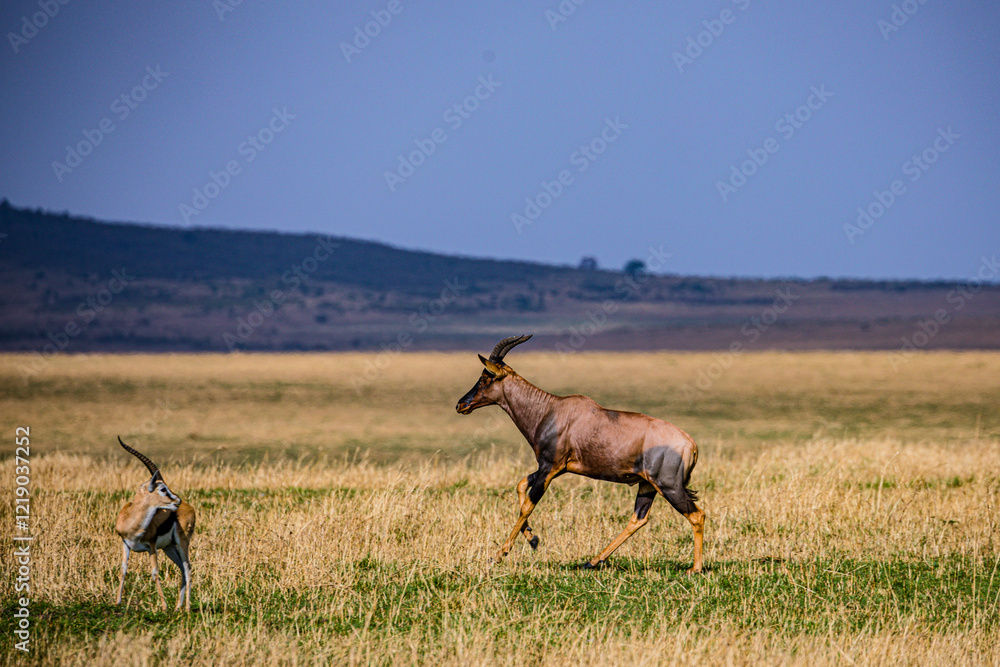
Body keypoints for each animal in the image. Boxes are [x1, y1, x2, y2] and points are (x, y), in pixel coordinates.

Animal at [114, 436, 196, 611]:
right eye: (163, 489)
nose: (177, 500)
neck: (133, 523)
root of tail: (189, 507)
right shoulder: (125, 543)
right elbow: (123, 570)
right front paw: (117, 602)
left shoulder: (151, 546)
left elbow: (155, 572)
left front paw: (164, 606)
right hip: (169, 547)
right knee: (181, 568)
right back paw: (178, 607)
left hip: (182, 542)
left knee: (187, 568)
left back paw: (186, 608)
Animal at [456, 335, 704, 573]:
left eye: (486, 377)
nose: (461, 405)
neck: (550, 409)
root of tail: (691, 444)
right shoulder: (553, 468)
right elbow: (520, 486)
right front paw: (533, 539)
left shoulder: (550, 468)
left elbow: (527, 504)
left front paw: (499, 555)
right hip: (647, 485)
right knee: (638, 518)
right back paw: (592, 562)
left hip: (669, 486)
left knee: (696, 515)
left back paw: (695, 569)